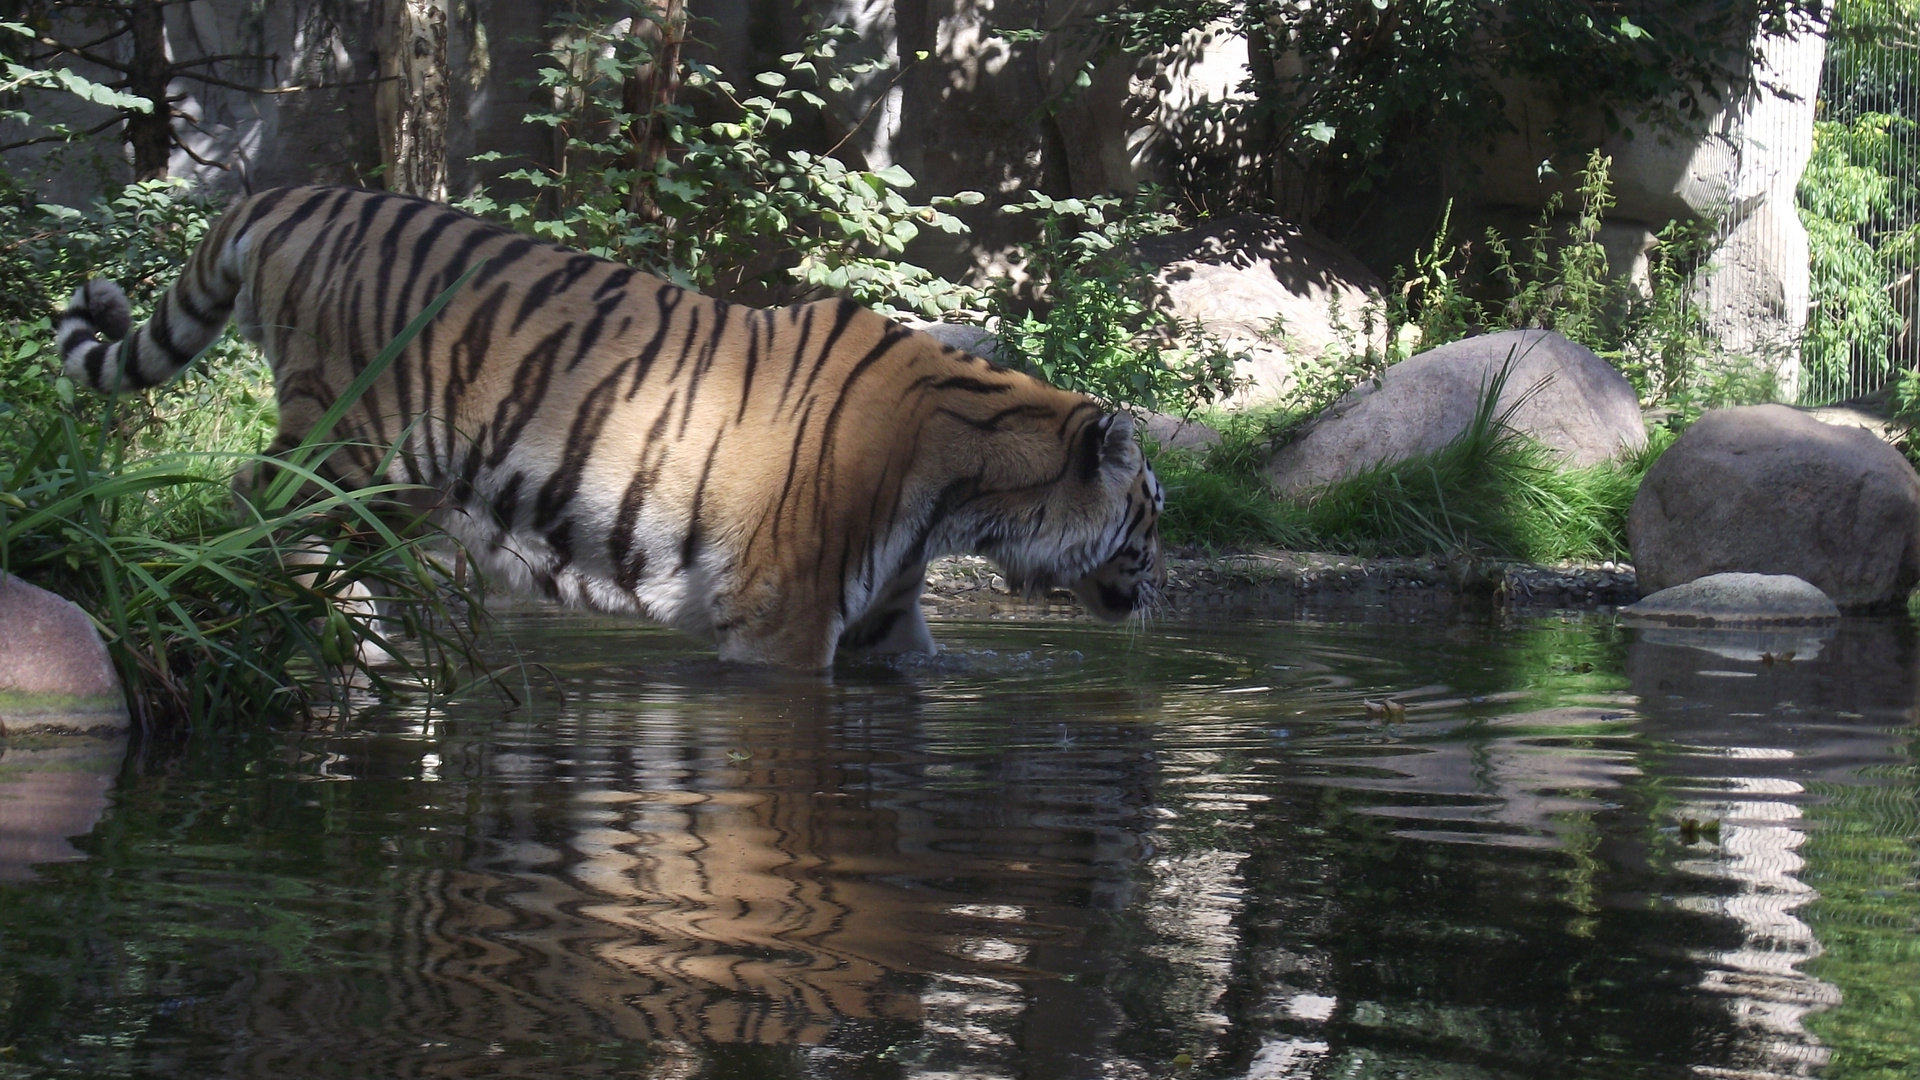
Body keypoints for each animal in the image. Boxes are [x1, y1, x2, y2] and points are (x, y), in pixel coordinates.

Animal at [56, 184, 1167, 664]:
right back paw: (342, 625)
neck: (968, 498)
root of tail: (286, 192)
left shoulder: (888, 619)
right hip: (351, 430)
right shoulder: (782, 614)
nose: (1154, 581)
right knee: (254, 495)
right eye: (1152, 514)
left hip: (403, 472)